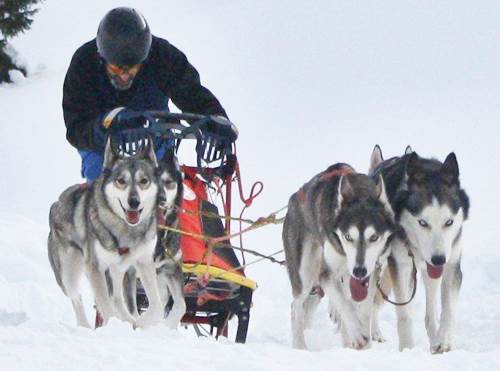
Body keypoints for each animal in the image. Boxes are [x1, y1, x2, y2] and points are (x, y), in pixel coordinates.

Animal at [49, 139, 169, 328]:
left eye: (144, 181)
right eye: (121, 181)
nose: (134, 202)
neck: (126, 229)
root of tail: (56, 204)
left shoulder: (144, 262)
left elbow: (156, 306)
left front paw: (139, 323)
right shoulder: (95, 267)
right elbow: (105, 305)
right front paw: (117, 324)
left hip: (118, 269)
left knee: (117, 298)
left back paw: (128, 319)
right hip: (69, 272)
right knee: (77, 298)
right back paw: (85, 326)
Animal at [286, 164, 394, 350]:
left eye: (374, 237)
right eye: (348, 237)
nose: (359, 271)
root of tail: (293, 199)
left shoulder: (372, 273)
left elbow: (364, 309)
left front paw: (364, 341)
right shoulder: (326, 274)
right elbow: (345, 304)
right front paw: (357, 334)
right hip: (305, 273)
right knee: (296, 308)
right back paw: (300, 347)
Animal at [370, 145, 470, 354]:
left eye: (449, 222)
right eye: (422, 222)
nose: (439, 259)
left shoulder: (451, 265)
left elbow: (447, 310)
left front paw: (442, 342)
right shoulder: (399, 266)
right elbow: (404, 315)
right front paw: (407, 349)